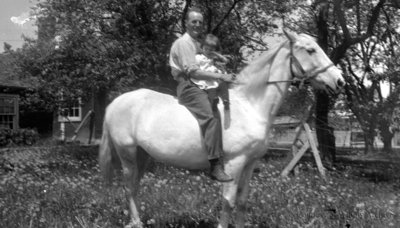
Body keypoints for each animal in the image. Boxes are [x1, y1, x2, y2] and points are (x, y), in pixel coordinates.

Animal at [97, 30, 344, 228]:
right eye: (311, 50)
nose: (339, 81)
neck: (249, 105)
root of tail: (114, 103)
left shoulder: (250, 163)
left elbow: (242, 201)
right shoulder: (234, 163)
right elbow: (228, 202)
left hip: (143, 154)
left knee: (135, 187)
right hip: (127, 153)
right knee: (129, 186)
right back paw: (136, 222)